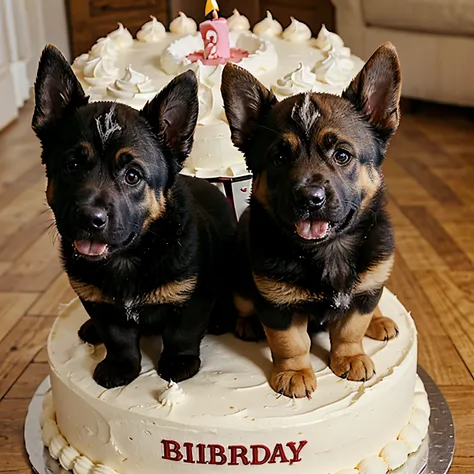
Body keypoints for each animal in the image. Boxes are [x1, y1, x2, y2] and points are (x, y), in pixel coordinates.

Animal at [31, 45, 235, 388]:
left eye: (132, 176)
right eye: (72, 165)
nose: (90, 218)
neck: (127, 257)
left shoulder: (192, 294)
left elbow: (182, 332)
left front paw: (179, 361)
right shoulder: (96, 301)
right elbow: (117, 336)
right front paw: (121, 366)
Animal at [223, 43, 404, 400]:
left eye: (342, 156)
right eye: (279, 159)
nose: (309, 198)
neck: (328, 250)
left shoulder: (363, 294)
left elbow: (351, 328)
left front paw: (350, 356)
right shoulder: (276, 304)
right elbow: (291, 343)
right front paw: (294, 372)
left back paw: (378, 320)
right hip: (240, 280)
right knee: (244, 303)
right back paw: (247, 323)